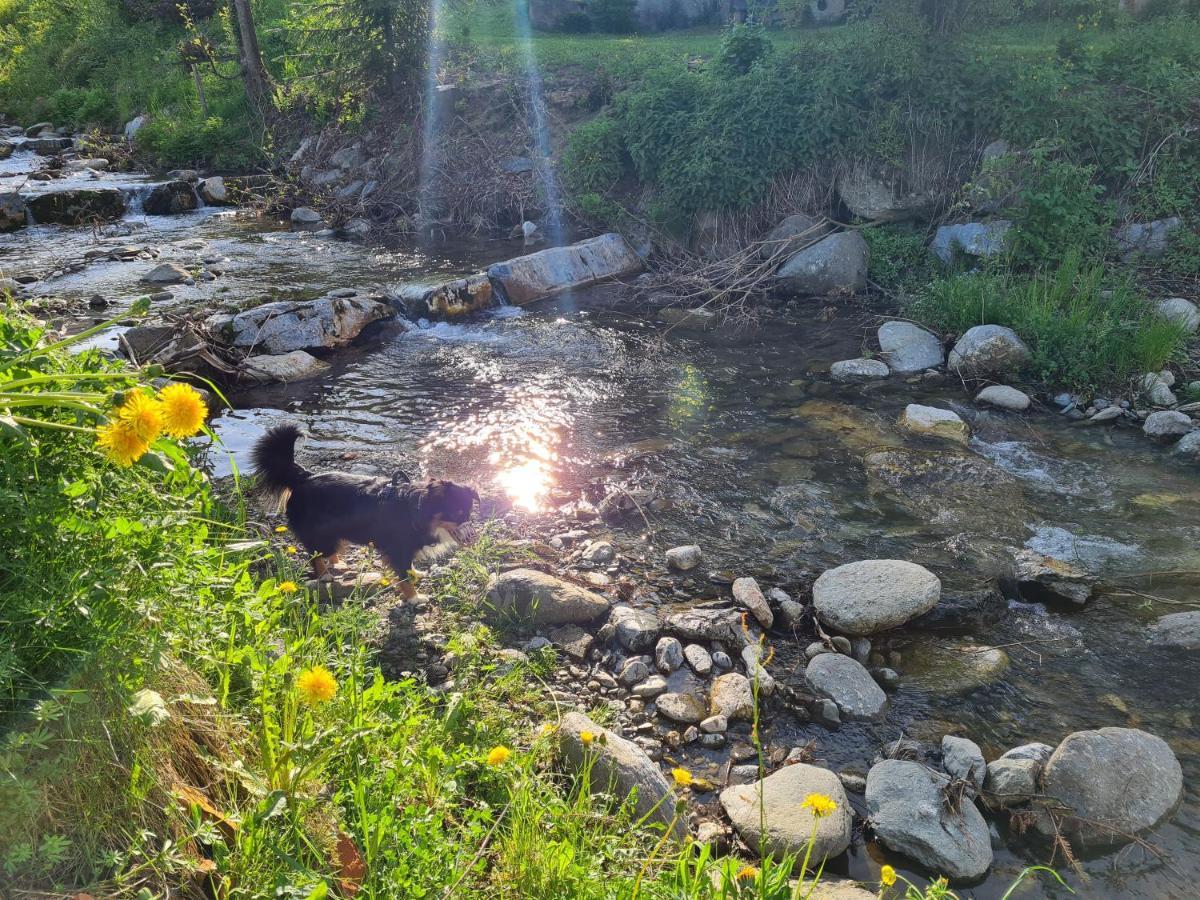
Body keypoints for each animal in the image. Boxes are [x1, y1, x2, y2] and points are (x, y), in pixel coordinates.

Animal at [253, 424, 477, 600]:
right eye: (456, 513)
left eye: (468, 513)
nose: (472, 536)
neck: (415, 510)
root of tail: (304, 478)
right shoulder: (397, 549)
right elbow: (403, 576)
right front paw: (415, 598)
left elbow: (409, 566)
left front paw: (416, 573)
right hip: (318, 534)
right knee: (315, 554)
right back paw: (325, 575)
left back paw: (338, 563)